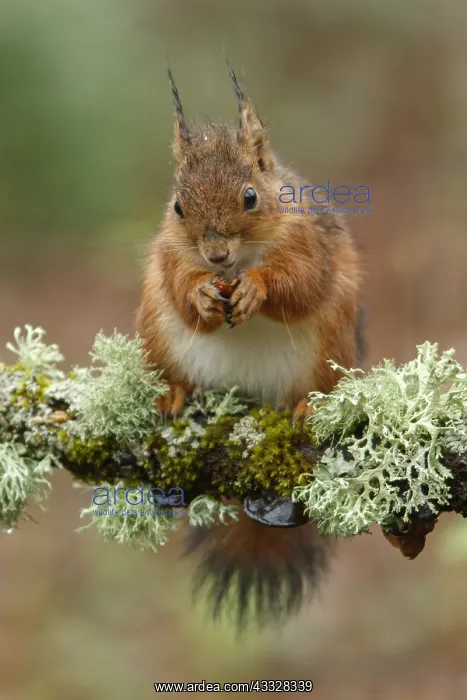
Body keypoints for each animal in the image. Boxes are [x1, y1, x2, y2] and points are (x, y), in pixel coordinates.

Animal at [136, 67, 364, 626]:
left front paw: (258, 287)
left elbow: (301, 283)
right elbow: (180, 286)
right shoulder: (168, 256)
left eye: (250, 198)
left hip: (330, 351)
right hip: (158, 336)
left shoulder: (311, 243)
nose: (216, 254)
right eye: (178, 206)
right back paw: (174, 392)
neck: (237, 264)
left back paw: (307, 406)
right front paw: (200, 292)